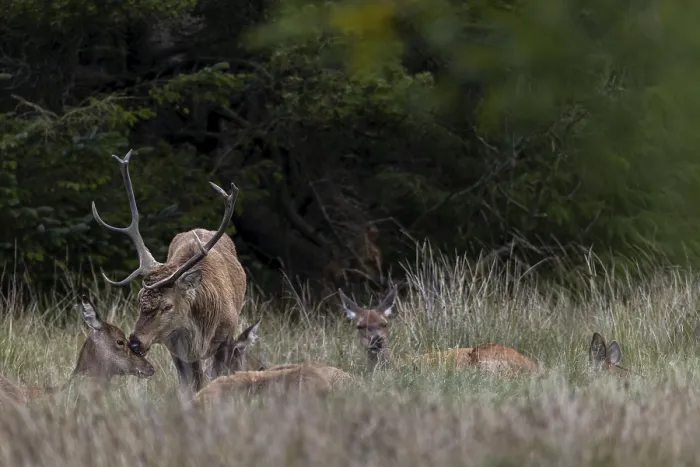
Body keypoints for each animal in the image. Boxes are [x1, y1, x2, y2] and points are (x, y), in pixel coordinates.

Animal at [91, 149, 246, 395]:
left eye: (167, 306)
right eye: (139, 301)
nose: (134, 342)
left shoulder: (227, 337)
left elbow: (217, 378)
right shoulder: (177, 349)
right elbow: (190, 387)